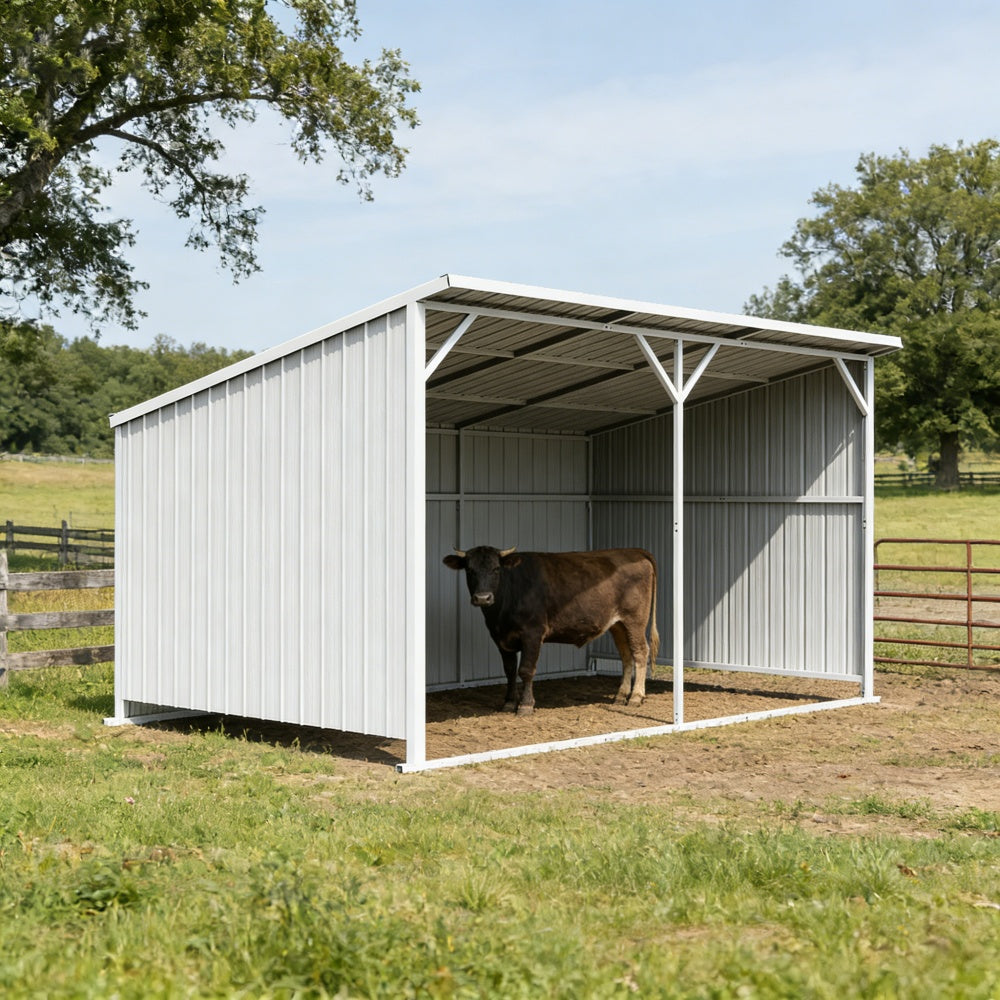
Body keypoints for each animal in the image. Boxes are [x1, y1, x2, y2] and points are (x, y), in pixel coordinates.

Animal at [443, 545, 659, 716]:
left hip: (635, 620)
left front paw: (525, 705)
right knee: (626, 655)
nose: (483, 598)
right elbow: (510, 670)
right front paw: (509, 702)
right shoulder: (500, 637)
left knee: (640, 652)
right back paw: (621, 695)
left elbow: (526, 670)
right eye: (469, 570)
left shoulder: (532, 633)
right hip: (618, 624)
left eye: (496, 569)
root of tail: (633, 551)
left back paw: (636, 697)